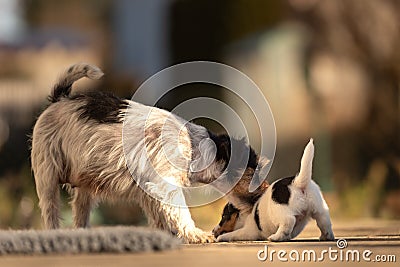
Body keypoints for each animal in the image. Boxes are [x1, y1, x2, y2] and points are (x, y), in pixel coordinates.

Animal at [30, 63, 268, 245]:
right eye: (254, 172)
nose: (268, 189)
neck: (193, 146)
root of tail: (60, 99)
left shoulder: (150, 190)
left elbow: (160, 217)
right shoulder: (167, 186)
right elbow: (181, 213)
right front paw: (196, 235)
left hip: (85, 187)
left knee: (80, 212)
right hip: (47, 176)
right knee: (50, 211)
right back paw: (54, 235)